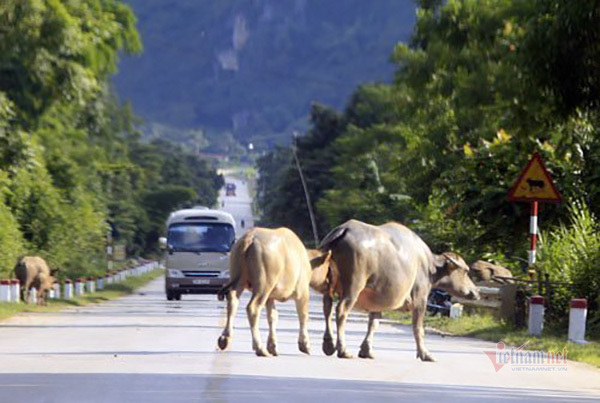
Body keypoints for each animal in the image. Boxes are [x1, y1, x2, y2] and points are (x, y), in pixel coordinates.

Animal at [217, 229, 332, 358]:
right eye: (328, 267)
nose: (330, 283)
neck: (306, 261)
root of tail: (249, 238)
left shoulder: (270, 297)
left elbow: (273, 316)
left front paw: (272, 346)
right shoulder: (302, 293)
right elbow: (304, 316)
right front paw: (305, 344)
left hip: (240, 281)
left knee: (232, 301)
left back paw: (225, 338)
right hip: (263, 286)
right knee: (253, 308)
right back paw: (259, 348)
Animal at [318, 221, 478, 362]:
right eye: (465, 271)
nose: (476, 291)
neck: (429, 267)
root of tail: (344, 229)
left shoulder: (376, 300)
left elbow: (374, 323)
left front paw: (366, 350)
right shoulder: (420, 298)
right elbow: (418, 327)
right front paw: (425, 354)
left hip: (327, 285)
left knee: (327, 307)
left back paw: (328, 345)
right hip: (353, 287)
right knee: (341, 310)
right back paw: (342, 350)